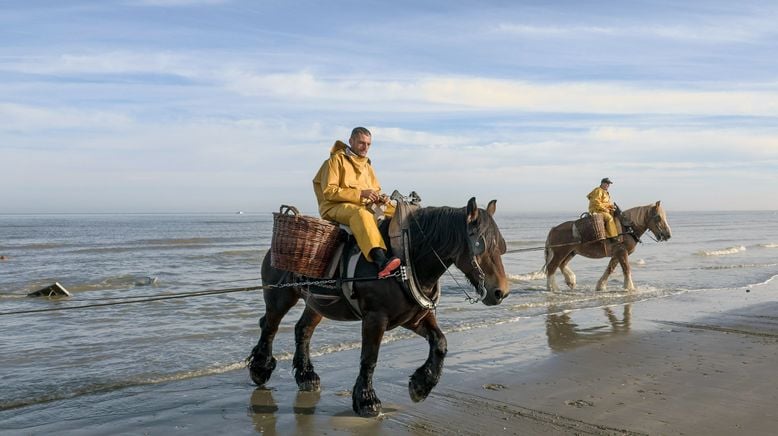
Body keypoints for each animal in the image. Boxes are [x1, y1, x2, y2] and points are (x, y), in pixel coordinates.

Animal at [246, 198, 506, 416]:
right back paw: (260, 368)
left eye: (500, 246)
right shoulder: (375, 317)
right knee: (269, 326)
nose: (500, 291)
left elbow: (440, 343)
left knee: (303, 330)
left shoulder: (413, 318)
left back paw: (306, 375)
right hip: (280, 296)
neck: (406, 259)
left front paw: (421, 385)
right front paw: (366, 399)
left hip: (317, 303)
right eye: (480, 245)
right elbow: (369, 357)